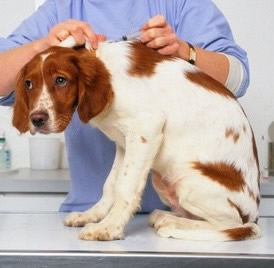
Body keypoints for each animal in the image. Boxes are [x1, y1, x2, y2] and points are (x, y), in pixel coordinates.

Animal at [12, 40, 262, 241]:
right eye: (28, 84)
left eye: (61, 80)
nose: (37, 120)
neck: (108, 72)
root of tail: (254, 212)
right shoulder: (124, 142)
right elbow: (110, 185)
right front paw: (92, 215)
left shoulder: (146, 130)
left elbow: (125, 187)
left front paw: (108, 228)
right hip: (164, 182)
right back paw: (165, 216)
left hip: (188, 180)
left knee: (235, 225)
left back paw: (172, 223)